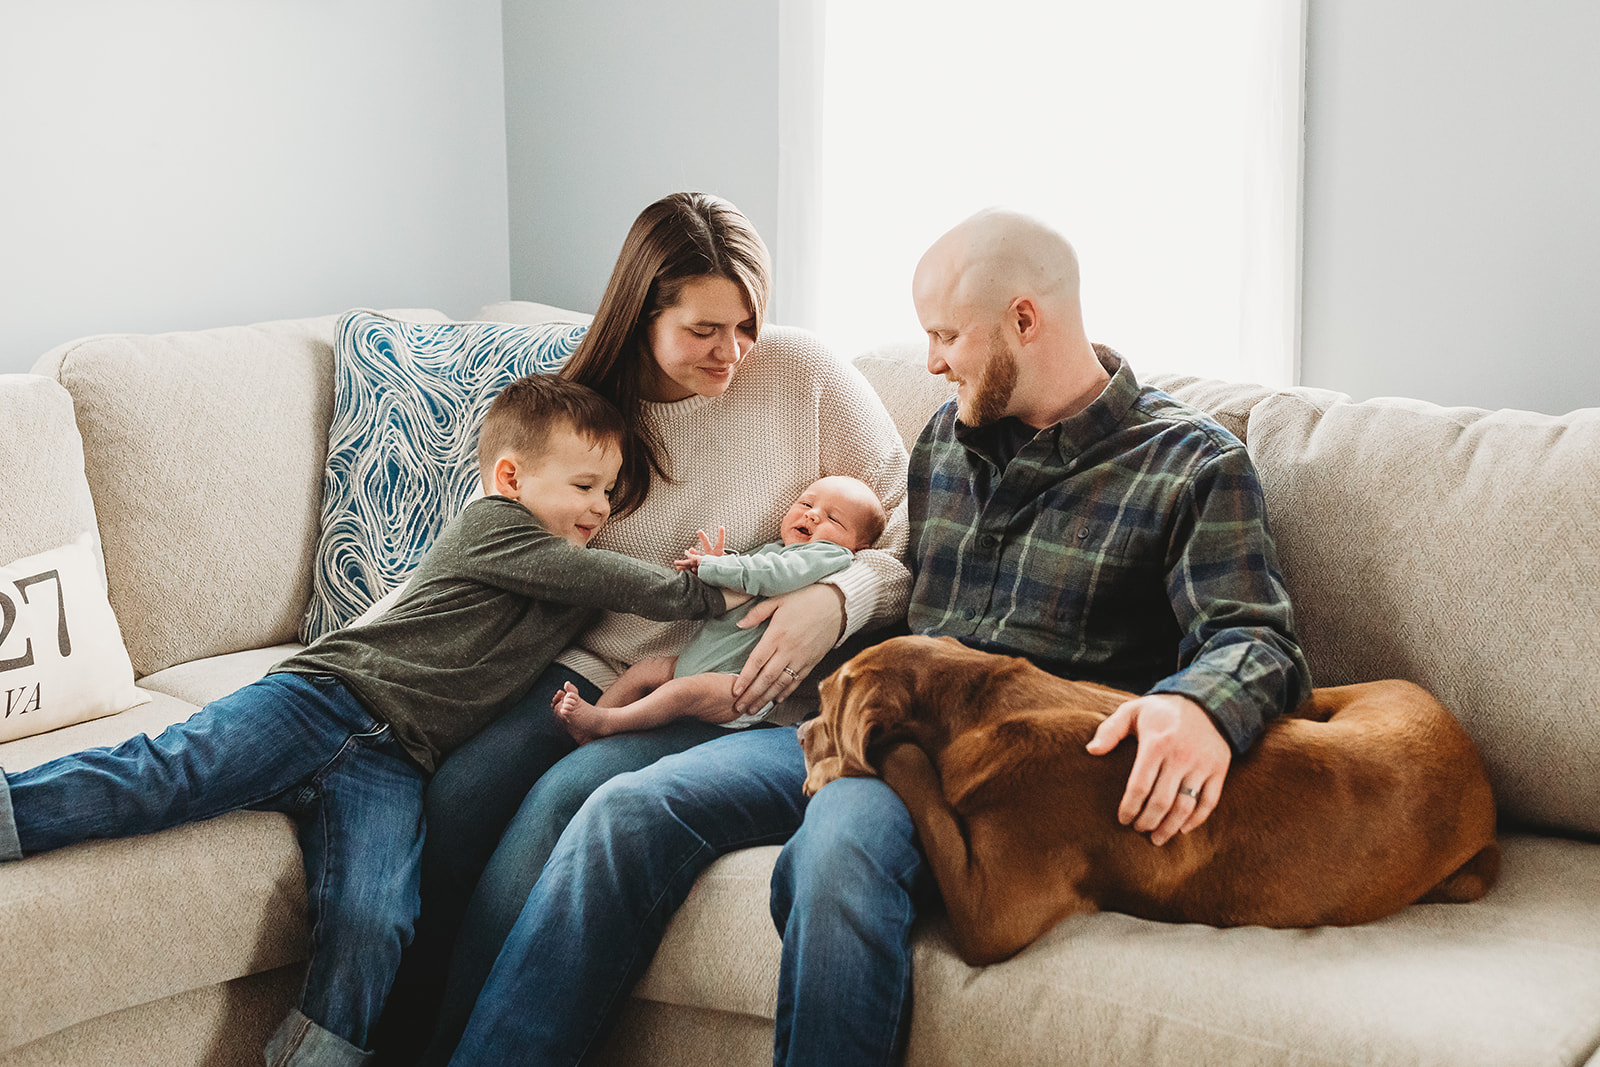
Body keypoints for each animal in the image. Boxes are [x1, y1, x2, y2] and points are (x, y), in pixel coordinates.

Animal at [800, 633, 1497, 966]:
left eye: (826, 698)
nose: (801, 730)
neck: (979, 704)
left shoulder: (991, 914)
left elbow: (910, 769)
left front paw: (842, 767)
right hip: (1323, 702)